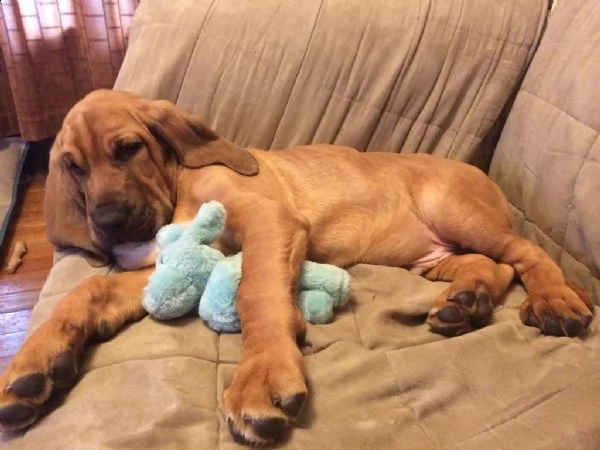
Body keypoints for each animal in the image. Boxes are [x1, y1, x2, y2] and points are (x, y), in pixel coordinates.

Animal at [0, 89, 592, 444]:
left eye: (128, 148)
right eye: (73, 167)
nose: (109, 223)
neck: (177, 187)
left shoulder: (269, 221)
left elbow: (257, 293)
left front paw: (262, 375)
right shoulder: (173, 263)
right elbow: (86, 294)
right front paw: (32, 366)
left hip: (454, 210)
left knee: (528, 255)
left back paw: (555, 301)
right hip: (433, 255)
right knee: (494, 266)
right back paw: (465, 303)